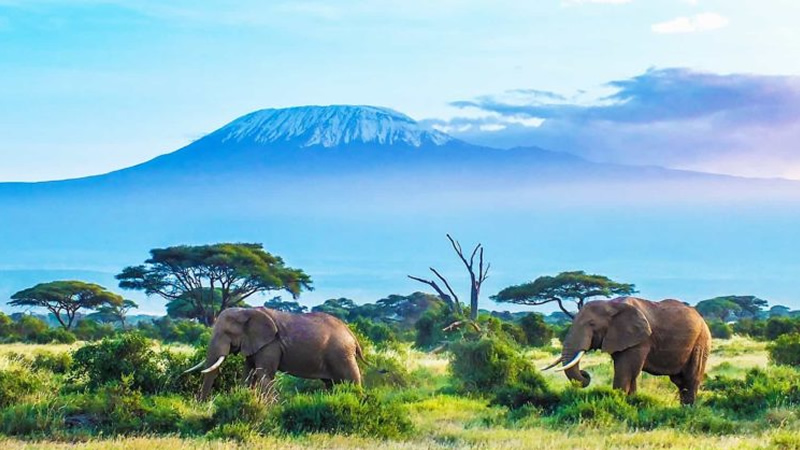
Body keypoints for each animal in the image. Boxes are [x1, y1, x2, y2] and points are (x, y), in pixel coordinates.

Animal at [184, 308, 362, 400]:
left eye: (227, 333)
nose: (202, 404)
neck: (247, 311)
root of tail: (352, 335)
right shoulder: (254, 344)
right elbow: (248, 374)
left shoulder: (270, 345)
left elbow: (264, 374)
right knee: (331, 384)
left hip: (341, 354)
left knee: (351, 380)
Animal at [544, 296, 712, 404]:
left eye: (592, 324)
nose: (585, 374)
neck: (611, 304)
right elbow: (630, 373)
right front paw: (631, 403)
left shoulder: (640, 340)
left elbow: (625, 371)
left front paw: (619, 403)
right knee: (679, 381)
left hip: (701, 341)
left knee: (690, 379)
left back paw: (687, 410)